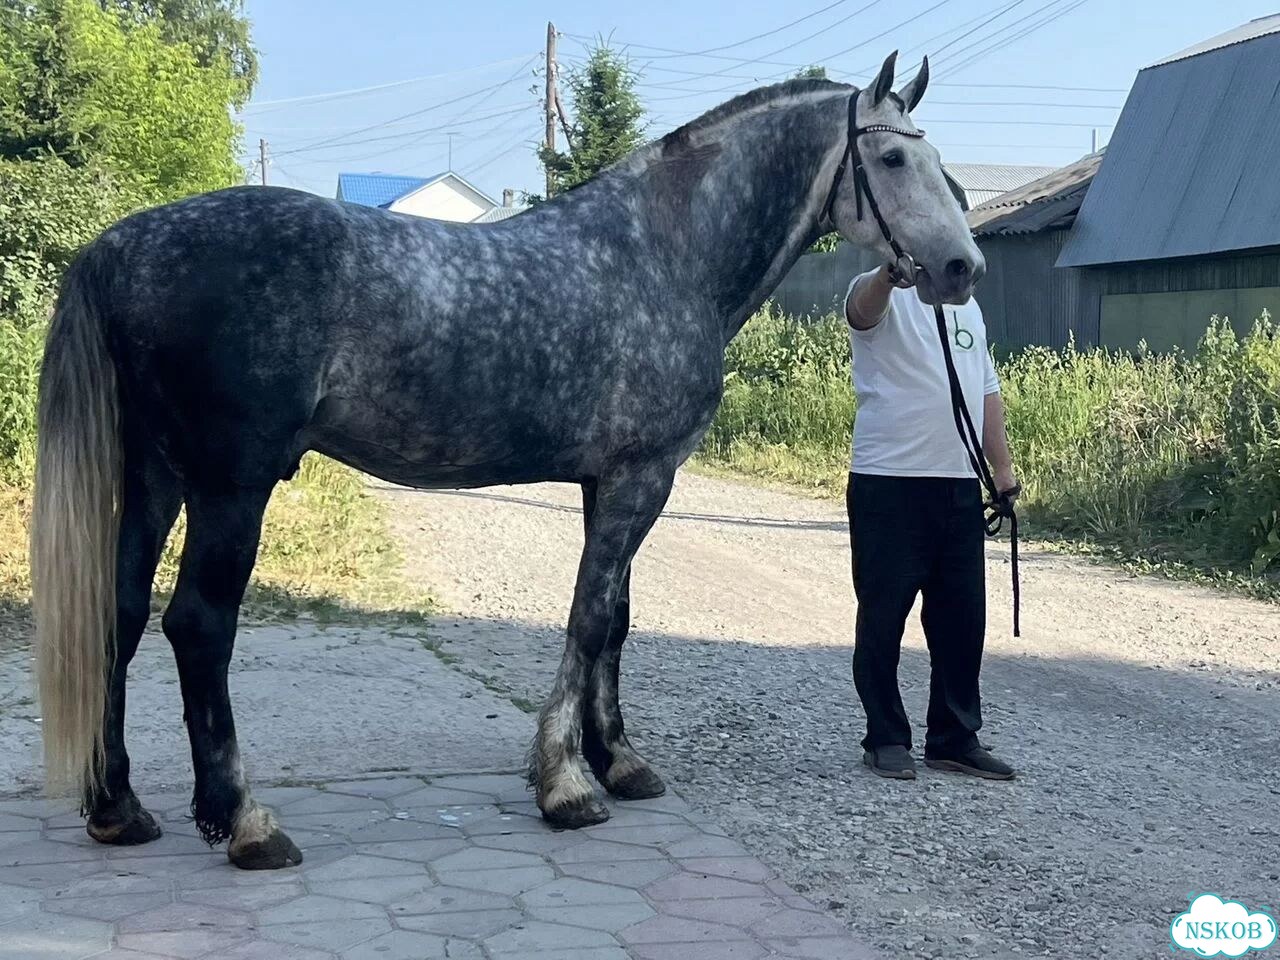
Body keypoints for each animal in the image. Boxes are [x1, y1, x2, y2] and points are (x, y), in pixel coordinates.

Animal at [30, 51, 983, 870]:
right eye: (893, 157)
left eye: (941, 161)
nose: (961, 267)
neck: (662, 254)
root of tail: (121, 245)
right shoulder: (642, 477)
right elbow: (587, 621)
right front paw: (567, 786)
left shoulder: (614, 483)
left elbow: (616, 621)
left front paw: (618, 762)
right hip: (232, 487)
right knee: (197, 625)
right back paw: (244, 823)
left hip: (156, 478)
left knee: (118, 613)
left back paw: (119, 808)